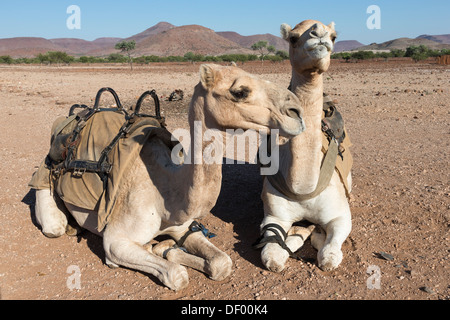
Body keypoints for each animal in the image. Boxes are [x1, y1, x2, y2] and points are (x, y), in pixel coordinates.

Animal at [33, 63, 304, 292]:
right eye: (240, 91)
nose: (297, 112)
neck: (167, 195)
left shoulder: (183, 226)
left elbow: (222, 263)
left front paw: (165, 249)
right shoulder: (115, 240)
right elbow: (177, 275)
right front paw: (155, 251)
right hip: (45, 179)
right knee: (53, 225)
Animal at [256, 20, 356, 272]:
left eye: (334, 36)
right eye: (293, 38)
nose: (319, 34)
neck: (304, 189)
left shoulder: (341, 215)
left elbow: (329, 256)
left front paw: (318, 236)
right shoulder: (274, 216)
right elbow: (271, 255)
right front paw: (301, 232)